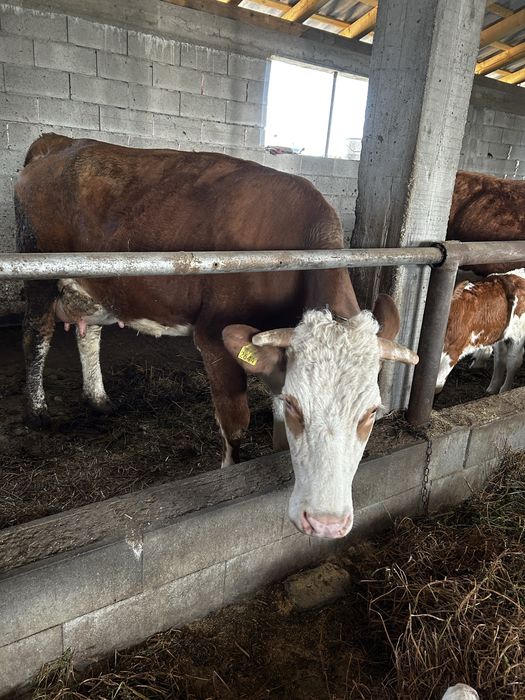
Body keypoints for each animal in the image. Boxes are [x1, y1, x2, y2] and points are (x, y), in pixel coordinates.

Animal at [15, 133, 418, 539]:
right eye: (296, 406)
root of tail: (62, 145)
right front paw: (229, 473)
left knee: (90, 333)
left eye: (372, 411)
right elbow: (235, 422)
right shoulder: (214, 339)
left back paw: (99, 399)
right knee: (36, 334)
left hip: (98, 284)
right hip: (37, 272)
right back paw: (38, 410)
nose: (325, 524)